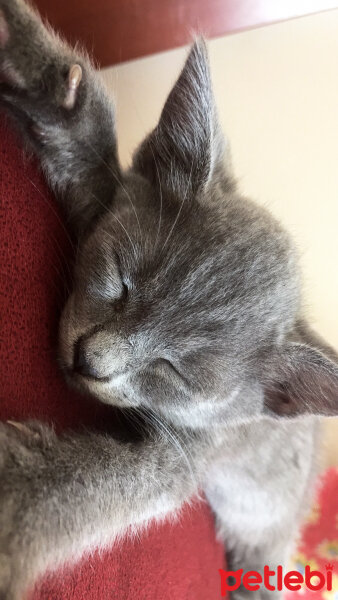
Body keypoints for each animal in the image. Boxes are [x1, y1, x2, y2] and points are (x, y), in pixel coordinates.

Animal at [0, 1, 338, 600]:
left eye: (174, 369)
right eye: (120, 280)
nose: (90, 359)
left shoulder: (196, 449)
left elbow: (110, 484)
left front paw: (13, 496)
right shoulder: (108, 202)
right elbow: (92, 156)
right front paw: (43, 75)